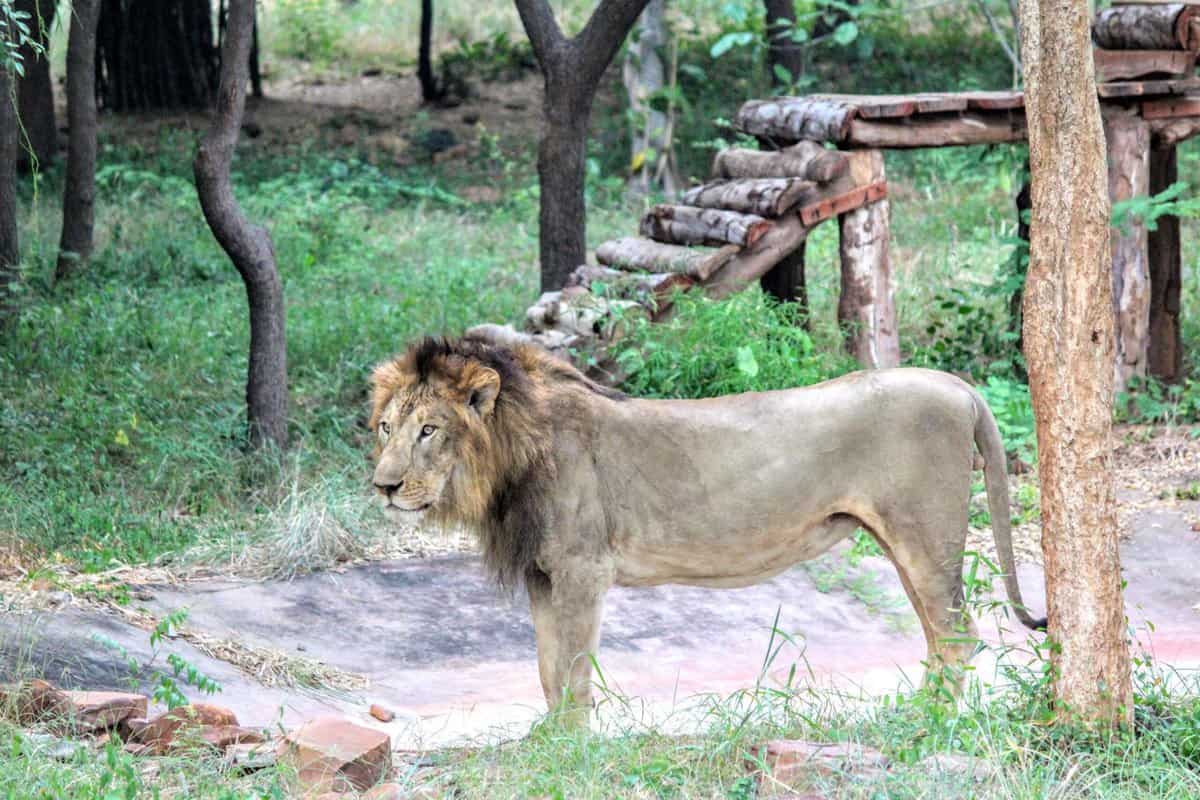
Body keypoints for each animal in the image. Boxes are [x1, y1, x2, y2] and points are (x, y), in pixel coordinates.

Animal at [369, 328, 1046, 724]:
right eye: (385, 426)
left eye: (429, 430)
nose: (384, 486)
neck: (512, 458)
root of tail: (956, 385)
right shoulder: (542, 573)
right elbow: (547, 668)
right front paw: (549, 739)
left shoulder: (583, 570)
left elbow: (576, 668)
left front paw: (575, 743)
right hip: (901, 541)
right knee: (937, 635)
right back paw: (913, 714)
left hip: (925, 535)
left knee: (957, 634)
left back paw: (929, 724)